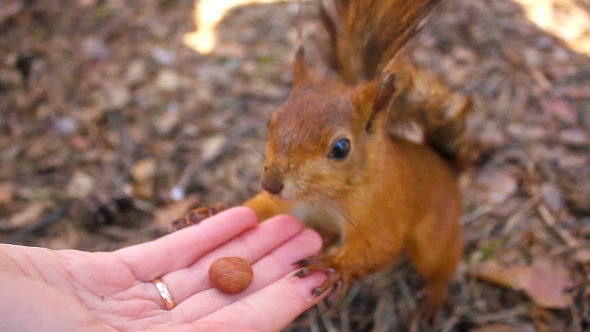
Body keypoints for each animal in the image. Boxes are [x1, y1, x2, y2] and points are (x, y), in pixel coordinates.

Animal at [173, 0, 474, 320]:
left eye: (341, 148)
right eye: (271, 121)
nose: (270, 184)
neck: (326, 197)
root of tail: (445, 164)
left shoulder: (384, 207)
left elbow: (381, 246)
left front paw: (335, 266)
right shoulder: (293, 206)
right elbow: (261, 212)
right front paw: (209, 213)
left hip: (435, 233)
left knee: (440, 262)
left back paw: (434, 297)